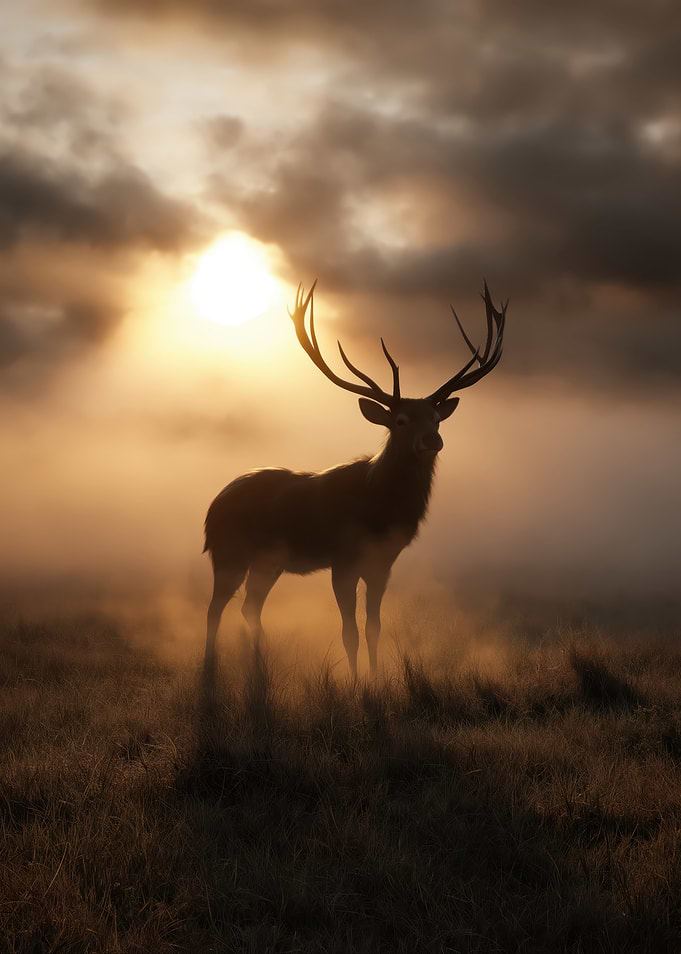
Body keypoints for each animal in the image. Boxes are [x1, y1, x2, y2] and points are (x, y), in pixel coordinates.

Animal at [203, 281, 506, 679]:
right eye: (401, 420)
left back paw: (260, 664)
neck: (380, 513)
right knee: (214, 609)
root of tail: (212, 507)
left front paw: (375, 678)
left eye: (436, 418)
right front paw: (355, 681)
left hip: (269, 561)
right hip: (229, 551)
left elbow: (374, 626)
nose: (432, 440)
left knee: (250, 605)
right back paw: (210, 670)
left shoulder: (383, 565)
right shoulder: (342, 560)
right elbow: (349, 631)